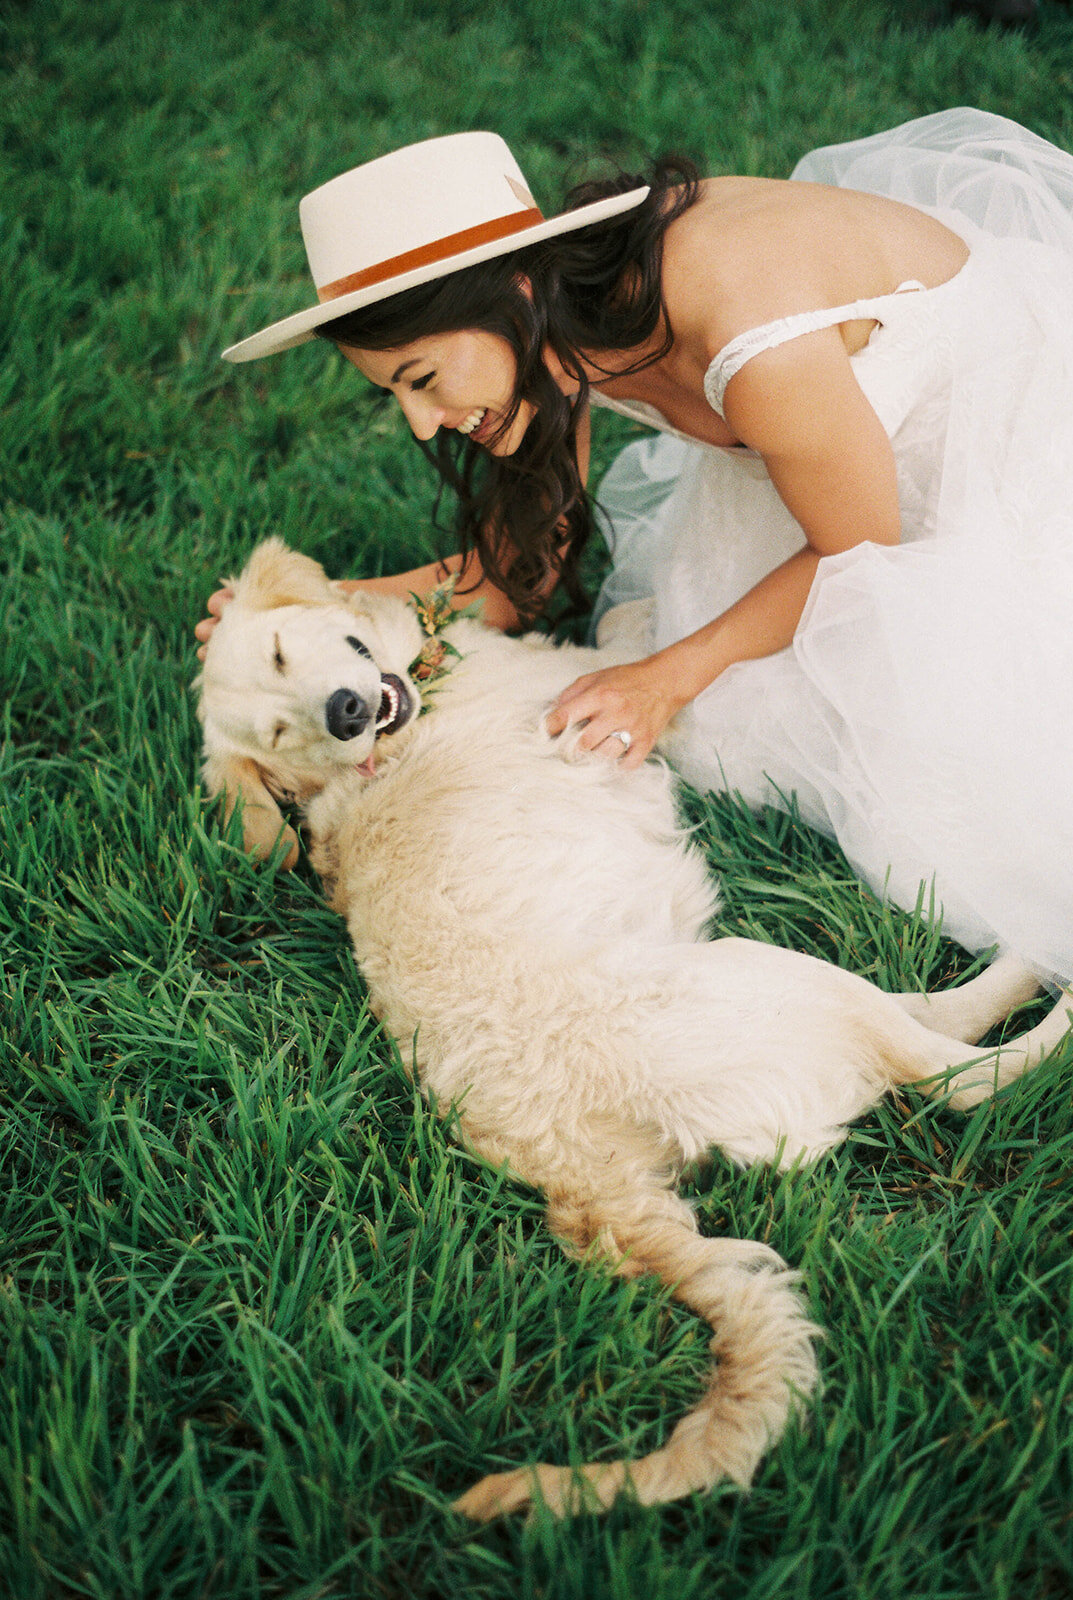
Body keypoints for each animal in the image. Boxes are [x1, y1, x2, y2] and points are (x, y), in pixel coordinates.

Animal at [197, 537, 1068, 1510]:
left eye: (281, 660)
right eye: (281, 735)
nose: (345, 712)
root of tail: (583, 1178)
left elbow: (621, 621)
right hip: (769, 982)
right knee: (960, 1073)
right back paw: (1043, 963)